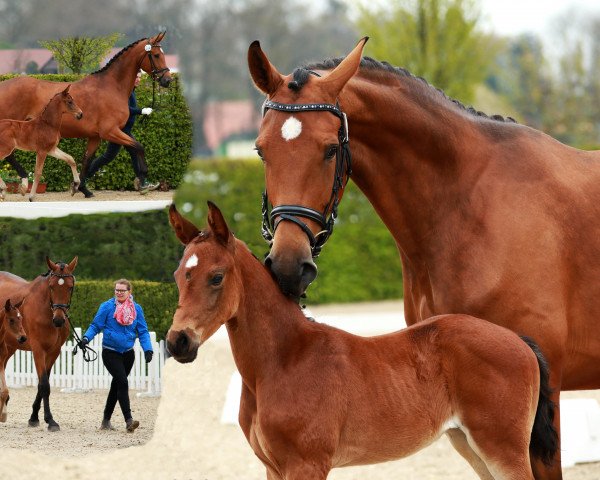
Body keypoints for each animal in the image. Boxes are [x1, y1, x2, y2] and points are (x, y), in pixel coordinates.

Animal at [0, 31, 171, 193]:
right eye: (156, 55)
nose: (167, 80)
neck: (111, 86)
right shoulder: (110, 131)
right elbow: (138, 146)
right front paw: (142, 178)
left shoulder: (95, 136)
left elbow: (87, 160)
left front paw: (80, 188)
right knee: (10, 155)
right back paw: (22, 182)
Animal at [0, 258, 77, 432]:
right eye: (51, 286)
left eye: (70, 287)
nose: (59, 320)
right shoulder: (38, 350)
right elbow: (44, 385)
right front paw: (50, 420)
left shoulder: (54, 351)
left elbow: (43, 383)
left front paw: (34, 417)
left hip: (9, 348)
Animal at [165, 202, 556, 480]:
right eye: (178, 275)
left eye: (216, 277)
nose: (177, 342)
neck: (284, 360)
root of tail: (519, 341)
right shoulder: (272, 469)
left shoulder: (306, 465)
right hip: (469, 443)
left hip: (502, 447)